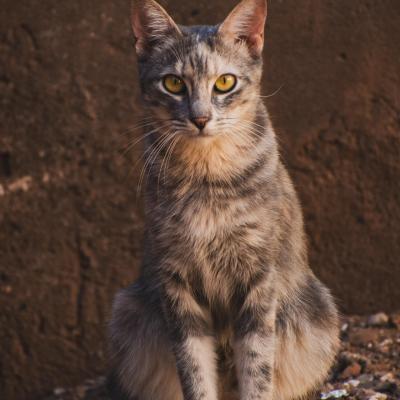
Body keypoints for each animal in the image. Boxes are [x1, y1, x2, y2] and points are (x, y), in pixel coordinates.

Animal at [108, 0, 340, 400]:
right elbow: (195, 371)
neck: (206, 174)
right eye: (173, 83)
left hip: (318, 316)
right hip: (129, 313)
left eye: (225, 82)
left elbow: (257, 367)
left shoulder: (258, 278)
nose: (200, 118)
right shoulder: (176, 282)